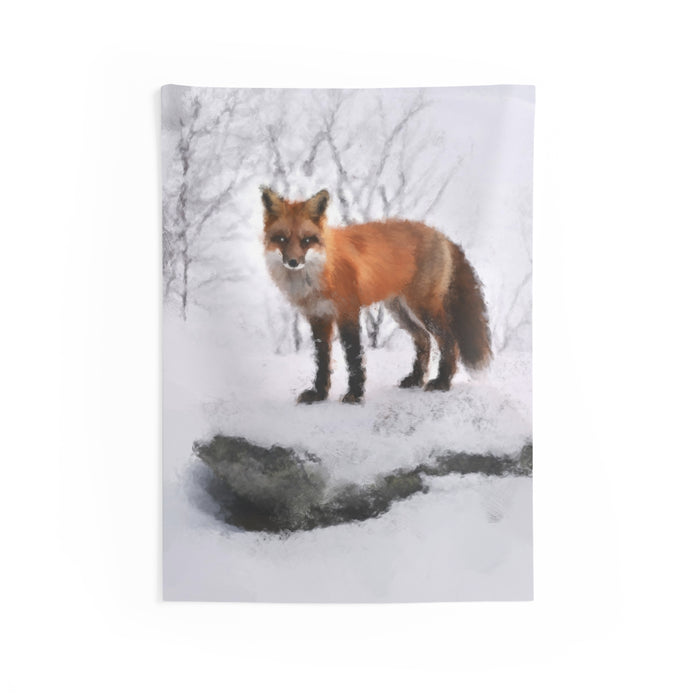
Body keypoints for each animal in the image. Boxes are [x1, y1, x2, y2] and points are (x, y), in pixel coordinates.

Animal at [261, 187, 492, 404]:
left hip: (423, 308)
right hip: (400, 311)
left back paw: (442, 382)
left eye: (306, 240)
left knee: (449, 340)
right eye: (282, 239)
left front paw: (355, 394)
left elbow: (353, 356)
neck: (320, 272)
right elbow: (322, 360)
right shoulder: (318, 317)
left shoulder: (347, 311)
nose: (293, 262)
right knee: (424, 339)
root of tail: (441, 234)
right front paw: (319, 394)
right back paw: (416, 379)